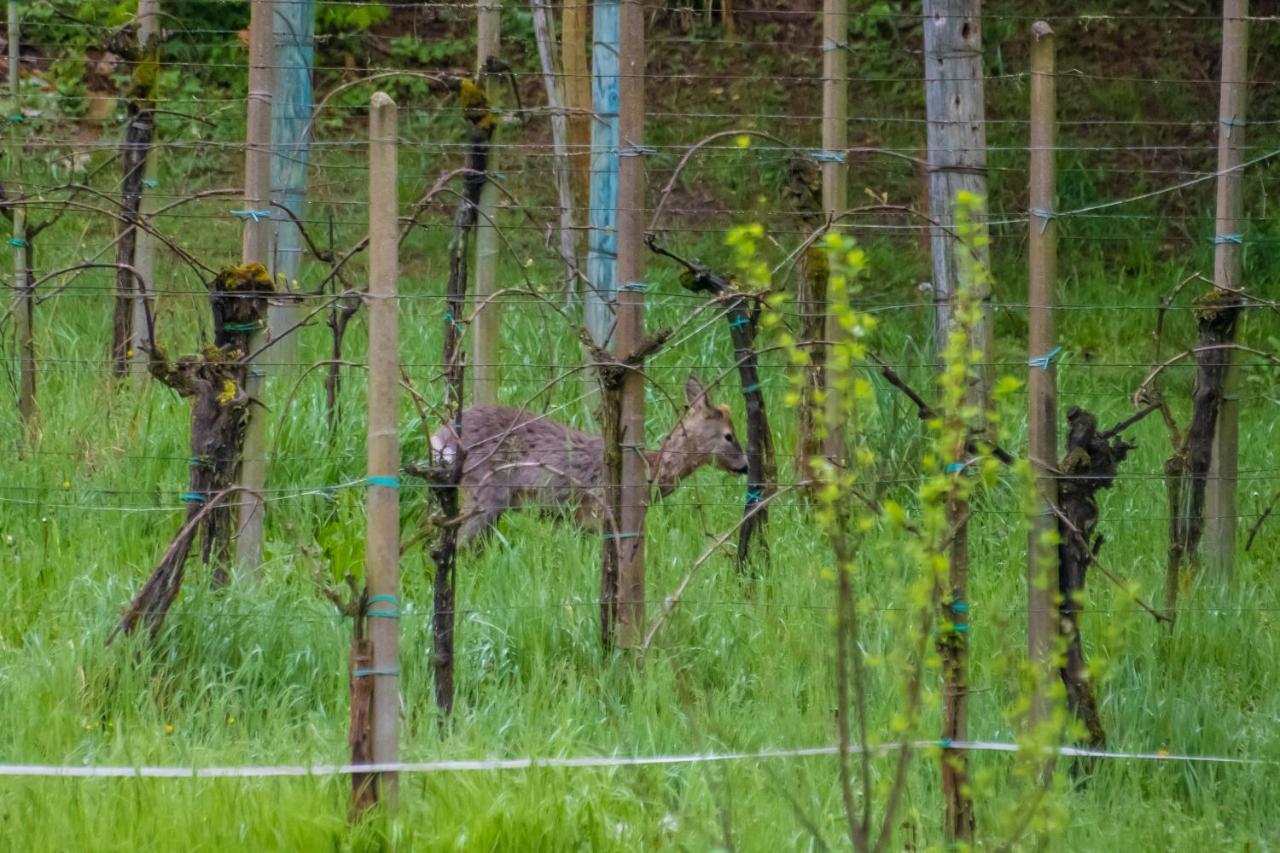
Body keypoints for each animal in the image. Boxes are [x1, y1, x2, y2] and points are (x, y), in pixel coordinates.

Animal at [430, 376, 747, 540]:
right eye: (729, 436)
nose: (744, 466)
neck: (650, 470)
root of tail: (440, 436)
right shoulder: (597, 513)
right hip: (485, 491)